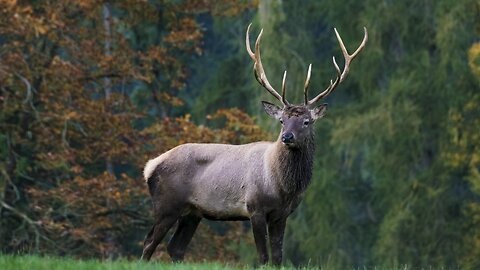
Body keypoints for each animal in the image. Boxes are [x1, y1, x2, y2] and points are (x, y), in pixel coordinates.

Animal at [140, 24, 368, 264]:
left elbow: (278, 256)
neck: (282, 186)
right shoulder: (254, 207)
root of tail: (149, 167)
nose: (287, 137)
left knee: (175, 247)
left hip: (193, 212)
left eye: (307, 121)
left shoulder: (282, 214)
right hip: (167, 204)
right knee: (149, 242)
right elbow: (264, 256)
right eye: (282, 120)